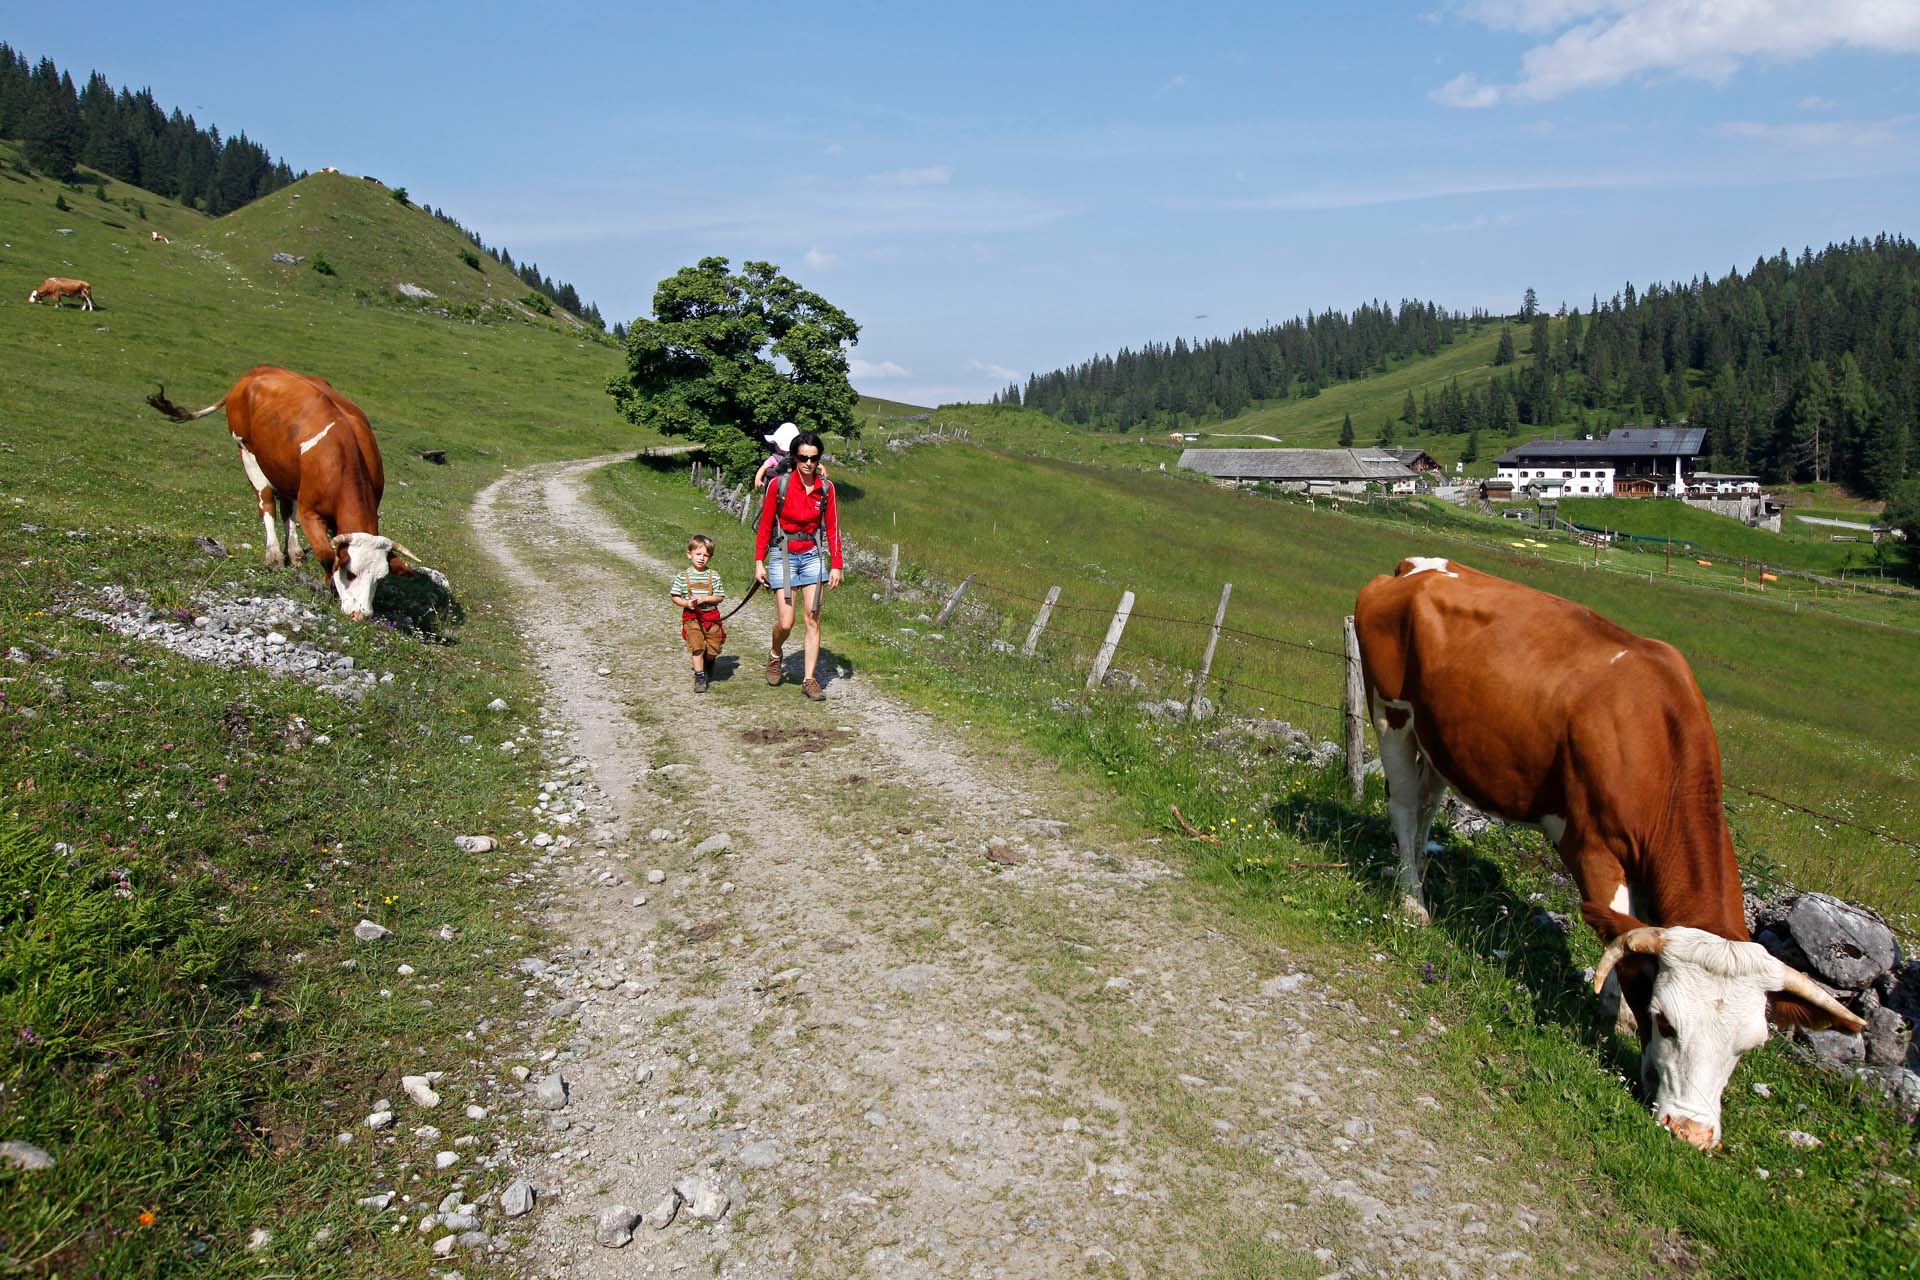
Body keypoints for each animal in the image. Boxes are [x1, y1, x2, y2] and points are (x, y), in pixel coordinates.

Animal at [144, 364, 428, 621]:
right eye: (351, 573)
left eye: (380, 578)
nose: (363, 615)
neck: (346, 461)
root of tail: (254, 372)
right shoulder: (310, 511)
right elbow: (327, 554)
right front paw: (327, 586)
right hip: (247, 451)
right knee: (267, 502)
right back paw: (274, 554)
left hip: (285, 469)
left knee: (286, 508)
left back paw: (295, 552)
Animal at [1351, 556, 1858, 1151]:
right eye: (1666, 1021)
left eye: (1748, 1045)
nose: (1691, 1132)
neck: (1653, 738)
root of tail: (1415, 567)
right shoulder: (1592, 846)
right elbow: (1618, 933)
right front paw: (1617, 1020)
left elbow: (1631, 932)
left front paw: (1618, 1022)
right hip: (1392, 715)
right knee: (1406, 805)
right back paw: (1413, 902)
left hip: (1439, 740)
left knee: (1428, 804)